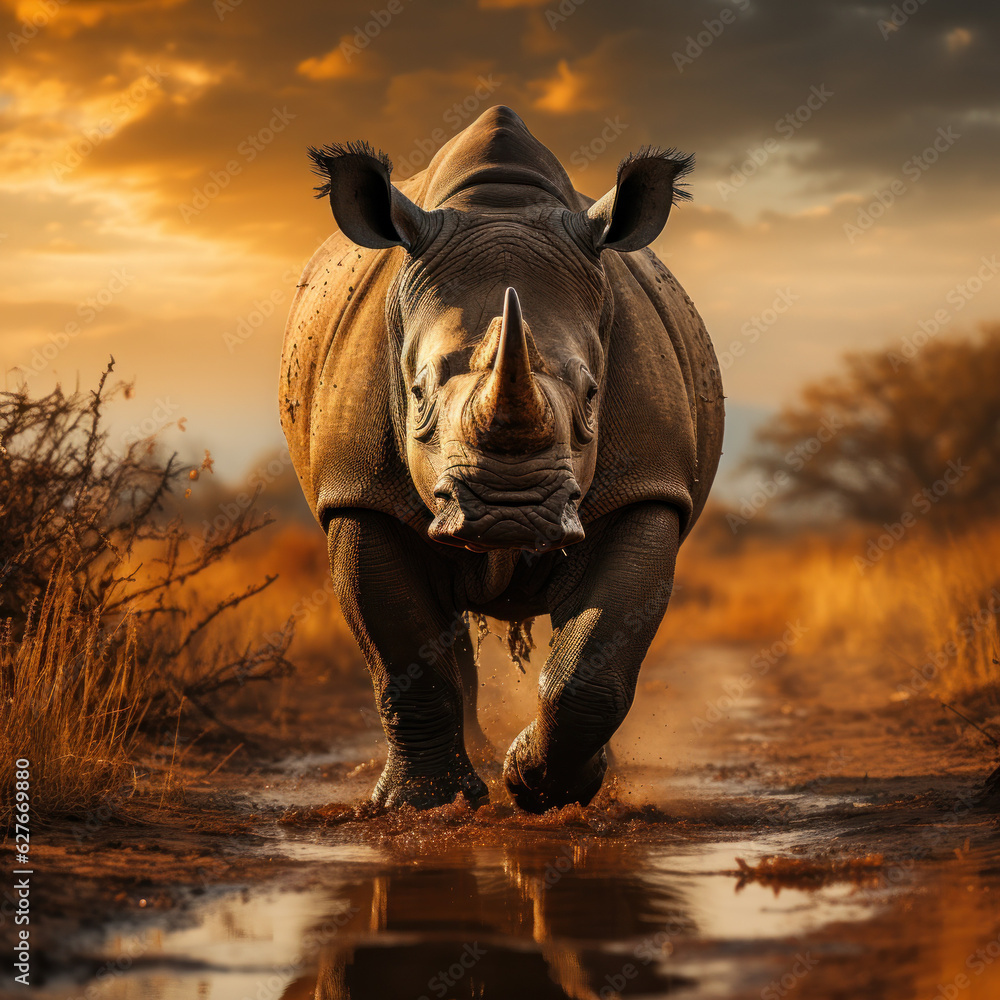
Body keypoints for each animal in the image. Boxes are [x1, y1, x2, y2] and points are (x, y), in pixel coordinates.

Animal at [280, 106, 723, 813]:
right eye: (416, 395)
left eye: (592, 396)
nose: (508, 514)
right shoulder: (359, 494)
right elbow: (403, 653)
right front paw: (424, 806)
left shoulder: (648, 487)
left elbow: (598, 659)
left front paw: (541, 785)